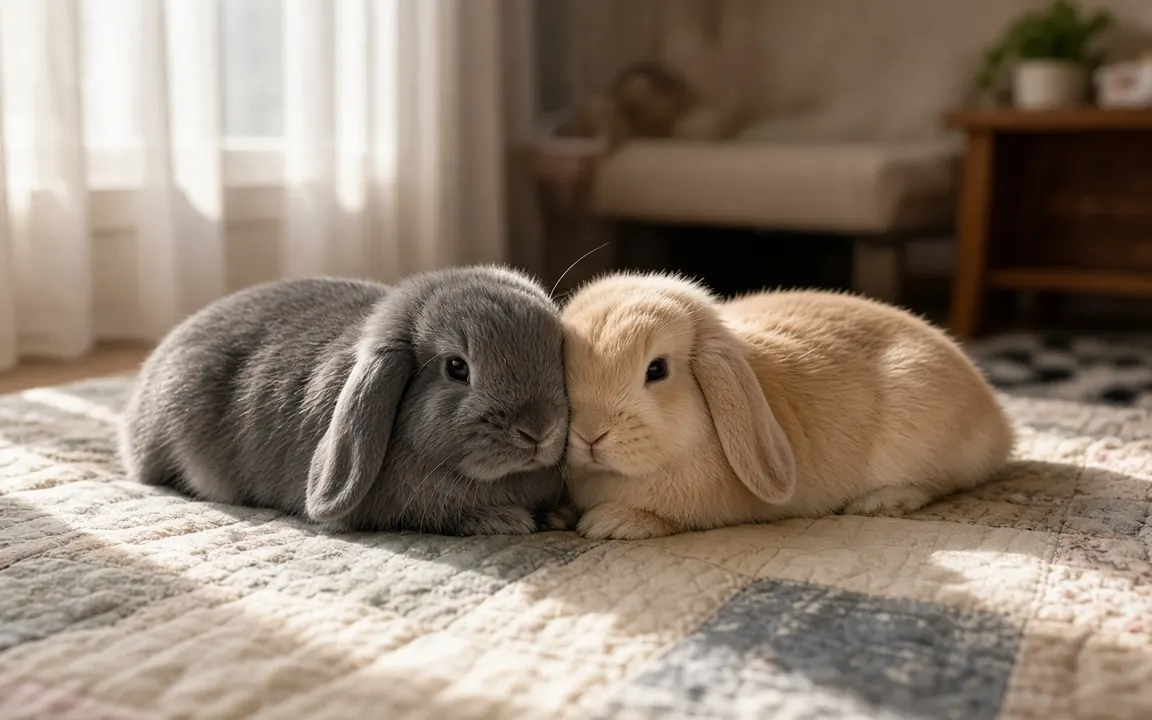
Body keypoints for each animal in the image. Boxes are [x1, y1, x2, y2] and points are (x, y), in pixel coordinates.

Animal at [561, 272, 1014, 540]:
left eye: (656, 370)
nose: (589, 435)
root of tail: (1001, 425)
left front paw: (609, 523)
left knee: (942, 483)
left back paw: (881, 502)